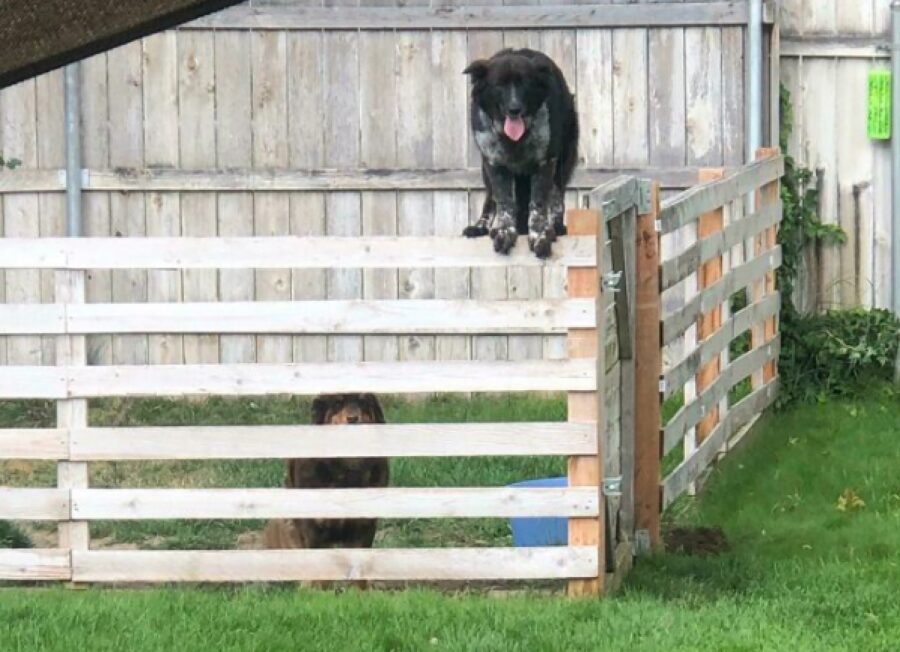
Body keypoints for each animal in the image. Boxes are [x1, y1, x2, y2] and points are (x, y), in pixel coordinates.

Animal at [460, 47, 580, 260]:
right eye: (499, 85)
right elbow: (504, 203)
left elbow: (538, 204)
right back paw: (482, 227)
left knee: (556, 196)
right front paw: (504, 233)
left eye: (525, 84)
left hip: (562, 162)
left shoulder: (545, 162)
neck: (514, 140)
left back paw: (556, 227)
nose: (514, 109)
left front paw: (539, 236)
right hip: (486, 170)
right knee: (490, 199)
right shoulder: (494, 163)